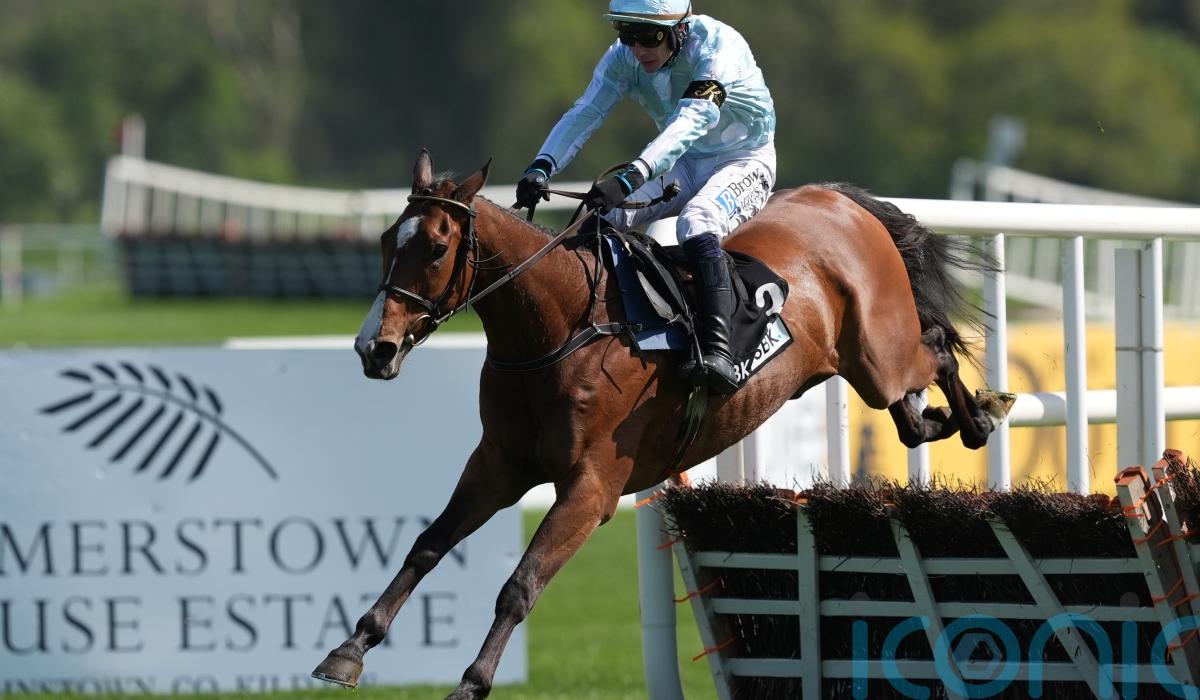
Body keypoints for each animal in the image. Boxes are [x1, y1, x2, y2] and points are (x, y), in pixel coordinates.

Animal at [313, 149, 1011, 699]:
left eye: (434, 248)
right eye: (385, 242)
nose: (374, 348)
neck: (562, 327)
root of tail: (841, 201)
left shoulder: (591, 488)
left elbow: (521, 584)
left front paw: (472, 682)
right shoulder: (498, 465)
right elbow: (427, 545)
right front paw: (348, 650)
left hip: (880, 356)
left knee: (938, 349)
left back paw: (980, 417)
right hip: (868, 368)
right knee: (912, 415)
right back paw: (943, 416)